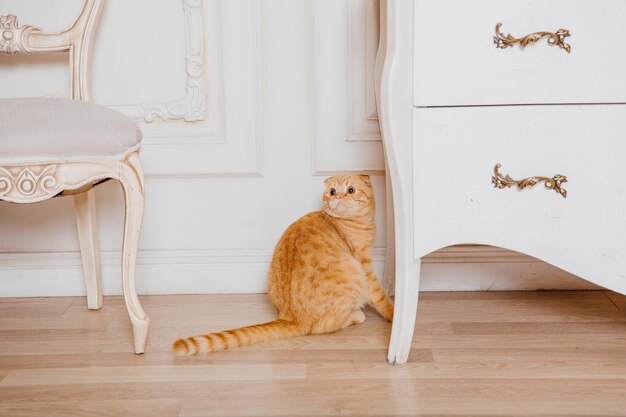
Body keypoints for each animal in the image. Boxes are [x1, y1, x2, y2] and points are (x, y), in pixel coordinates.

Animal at [173, 175, 392, 354]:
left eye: (351, 190)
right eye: (332, 191)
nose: (338, 197)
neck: (348, 221)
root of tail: (289, 316)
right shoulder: (365, 265)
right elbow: (381, 297)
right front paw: (393, 314)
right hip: (352, 270)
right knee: (325, 326)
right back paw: (356, 316)